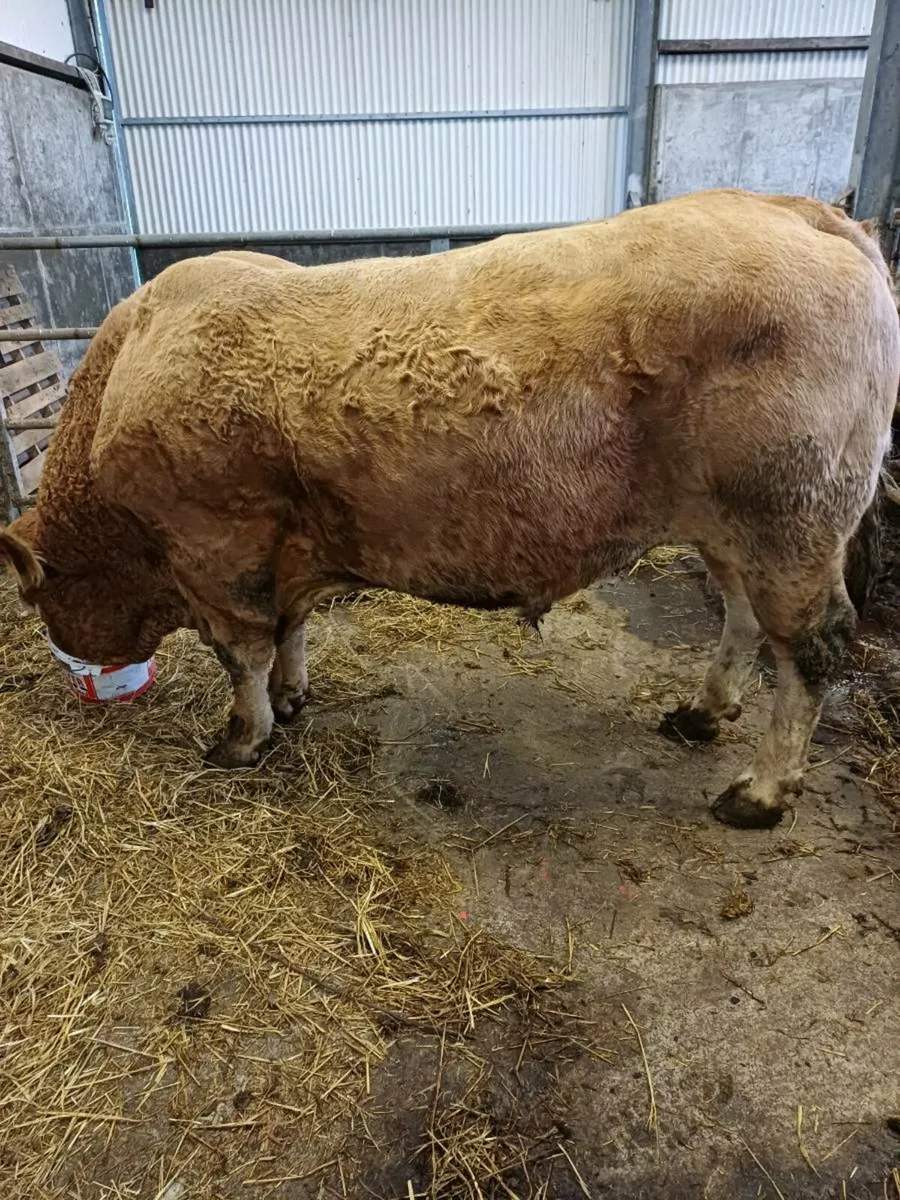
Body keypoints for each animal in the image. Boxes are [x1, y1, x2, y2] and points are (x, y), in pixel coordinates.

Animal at [1, 190, 897, 828]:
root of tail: (801, 210)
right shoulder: (276, 552)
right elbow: (290, 630)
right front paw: (291, 699)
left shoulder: (213, 549)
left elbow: (242, 653)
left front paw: (241, 738)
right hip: (733, 523)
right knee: (744, 619)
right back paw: (704, 712)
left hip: (792, 517)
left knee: (814, 646)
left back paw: (760, 793)